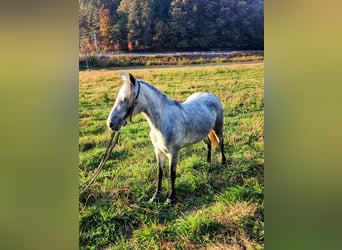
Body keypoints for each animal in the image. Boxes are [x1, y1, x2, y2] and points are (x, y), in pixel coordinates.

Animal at [105, 72, 226, 203]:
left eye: (126, 98)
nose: (110, 123)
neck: (162, 122)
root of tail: (211, 95)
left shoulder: (173, 153)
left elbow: (171, 174)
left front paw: (171, 197)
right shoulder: (158, 151)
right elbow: (160, 173)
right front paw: (155, 196)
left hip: (218, 128)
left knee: (221, 142)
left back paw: (223, 162)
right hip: (203, 133)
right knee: (208, 144)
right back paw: (207, 163)